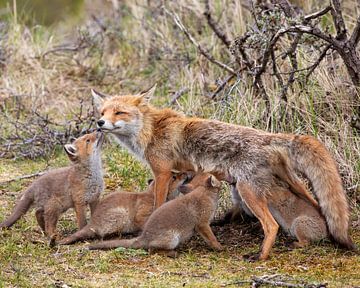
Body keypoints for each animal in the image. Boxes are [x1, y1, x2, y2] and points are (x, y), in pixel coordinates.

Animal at [57, 172, 187, 244]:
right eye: (174, 177)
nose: (186, 174)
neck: (151, 196)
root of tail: (92, 223)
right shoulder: (142, 212)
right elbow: (143, 223)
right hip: (121, 215)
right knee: (101, 234)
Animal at [87, 172, 222, 253]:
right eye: (174, 177)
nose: (187, 174)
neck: (204, 193)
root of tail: (144, 236)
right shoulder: (202, 223)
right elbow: (211, 238)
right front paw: (219, 247)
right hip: (172, 239)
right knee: (151, 249)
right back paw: (172, 253)